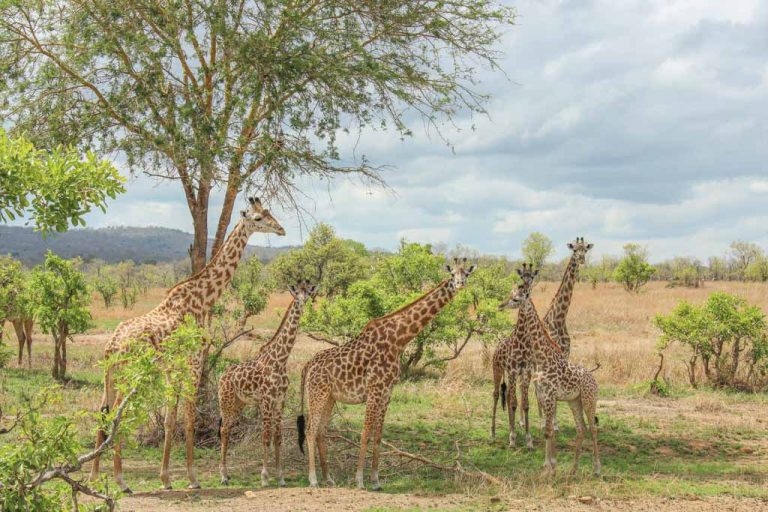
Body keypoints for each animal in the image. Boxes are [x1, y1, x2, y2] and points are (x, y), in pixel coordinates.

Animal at [88, 197, 284, 492]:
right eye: (258, 218)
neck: (203, 298)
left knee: (103, 414)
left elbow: (171, 420)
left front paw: (166, 479)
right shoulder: (194, 361)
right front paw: (192, 478)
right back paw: (121, 481)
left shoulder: (173, 368)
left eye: (270, 213)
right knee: (116, 416)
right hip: (128, 376)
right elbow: (189, 417)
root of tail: (111, 346)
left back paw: (94, 478)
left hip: (109, 376)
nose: (281, 229)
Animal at [218, 280, 316, 488]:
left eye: (307, 296)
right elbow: (265, 437)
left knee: (227, 430)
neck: (280, 359)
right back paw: (223, 476)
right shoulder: (266, 400)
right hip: (225, 402)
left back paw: (227, 474)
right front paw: (264, 477)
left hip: (239, 404)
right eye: (296, 297)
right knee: (223, 430)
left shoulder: (280, 401)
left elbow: (277, 437)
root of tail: (222, 376)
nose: (302, 306)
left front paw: (280, 477)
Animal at [296, 258, 476, 490]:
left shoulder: (387, 391)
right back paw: (313, 479)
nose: (460, 284)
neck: (399, 340)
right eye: (452, 273)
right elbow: (365, 433)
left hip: (329, 397)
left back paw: (328, 478)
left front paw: (375, 480)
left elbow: (378, 436)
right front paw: (360, 480)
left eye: (467, 274)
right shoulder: (374, 389)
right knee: (310, 430)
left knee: (320, 431)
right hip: (316, 394)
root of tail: (308, 365)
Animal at [500, 268, 604, 476]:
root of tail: (594, 379)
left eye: (515, 298)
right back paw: (573, 469)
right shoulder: (543, 395)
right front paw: (547, 465)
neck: (542, 357)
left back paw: (596, 468)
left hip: (589, 400)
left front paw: (551, 466)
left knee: (593, 428)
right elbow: (546, 430)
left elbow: (548, 430)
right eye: (510, 294)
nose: (500, 305)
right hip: (574, 401)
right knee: (581, 429)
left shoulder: (549, 397)